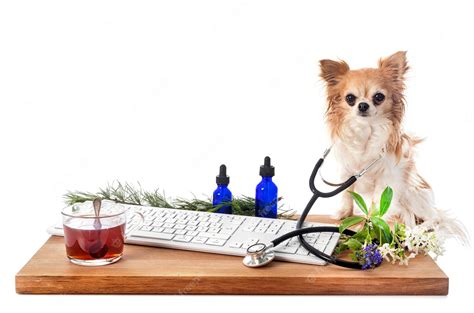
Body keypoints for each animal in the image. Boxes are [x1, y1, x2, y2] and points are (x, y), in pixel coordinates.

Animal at [318, 51, 466, 240]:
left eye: (378, 97)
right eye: (350, 98)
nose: (363, 105)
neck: (367, 130)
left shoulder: (385, 177)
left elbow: (377, 200)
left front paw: (373, 220)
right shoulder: (347, 171)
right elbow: (346, 194)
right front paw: (343, 214)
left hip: (412, 192)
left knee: (434, 217)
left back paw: (420, 228)